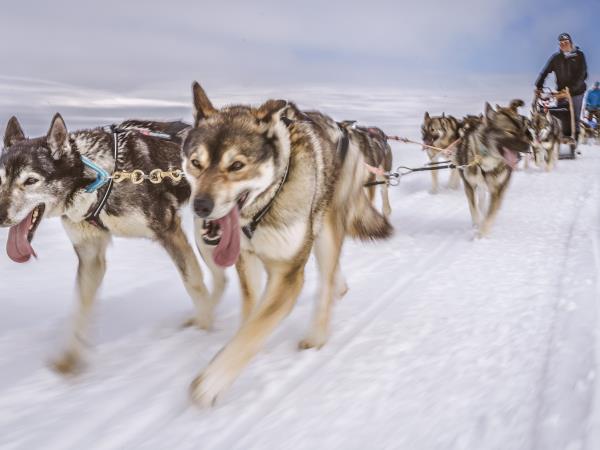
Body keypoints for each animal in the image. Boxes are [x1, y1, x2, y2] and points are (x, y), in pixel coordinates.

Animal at [0, 115, 220, 372]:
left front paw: (203, 333)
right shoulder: (90, 254)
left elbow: (193, 283)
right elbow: (80, 307)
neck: (96, 179)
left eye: (30, 180)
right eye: (0, 179)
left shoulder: (169, 232)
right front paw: (69, 360)